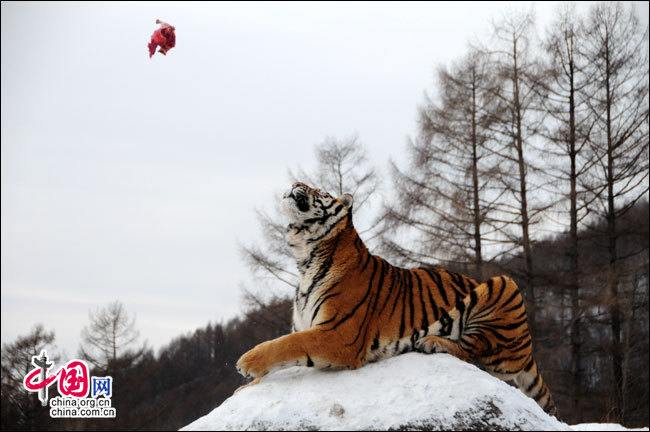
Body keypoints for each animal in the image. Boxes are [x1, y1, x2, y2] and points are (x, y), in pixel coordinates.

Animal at [235, 181, 556, 416]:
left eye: (322, 191)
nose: (296, 183)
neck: (305, 257)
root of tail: (529, 349)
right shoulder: (307, 325)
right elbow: (286, 347)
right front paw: (247, 387)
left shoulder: (338, 333)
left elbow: (287, 344)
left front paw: (247, 363)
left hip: (503, 285)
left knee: (474, 352)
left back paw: (432, 342)